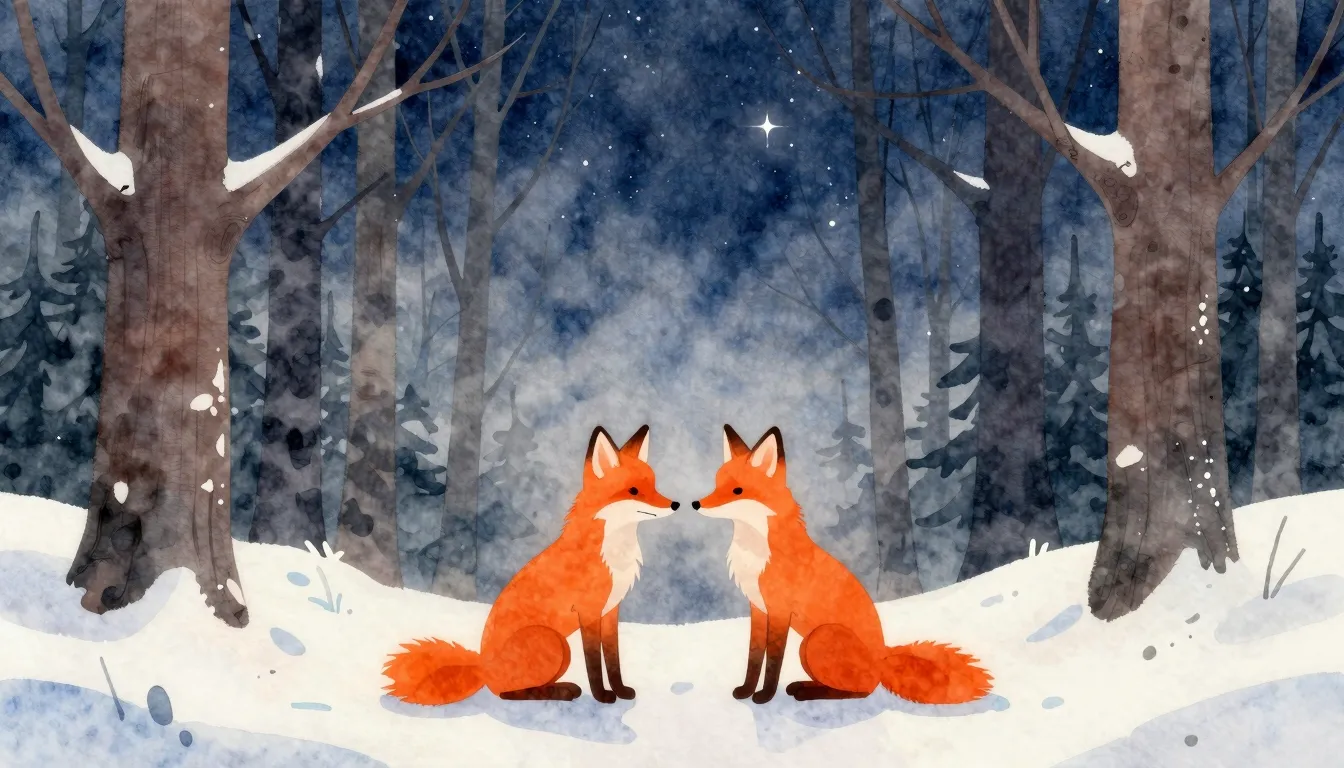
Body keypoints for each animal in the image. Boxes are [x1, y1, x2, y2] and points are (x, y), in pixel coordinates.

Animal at [382, 425, 679, 704]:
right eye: (634, 490)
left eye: (655, 485)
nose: (675, 504)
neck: (613, 552)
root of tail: (482, 667)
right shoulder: (589, 613)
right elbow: (594, 663)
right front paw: (602, 696)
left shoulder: (610, 612)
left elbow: (614, 660)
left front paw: (620, 691)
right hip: (555, 643)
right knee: (506, 693)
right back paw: (563, 691)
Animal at [693, 424, 993, 704]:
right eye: (716, 483)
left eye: (737, 490)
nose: (696, 503)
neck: (755, 552)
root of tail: (882, 656)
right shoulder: (758, 609)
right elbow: (754, 658)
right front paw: (745, 690)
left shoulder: (779, 611)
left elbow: (773, 662)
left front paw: (764, 696)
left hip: (816, 640)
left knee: (865, 689)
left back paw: (807, 691)